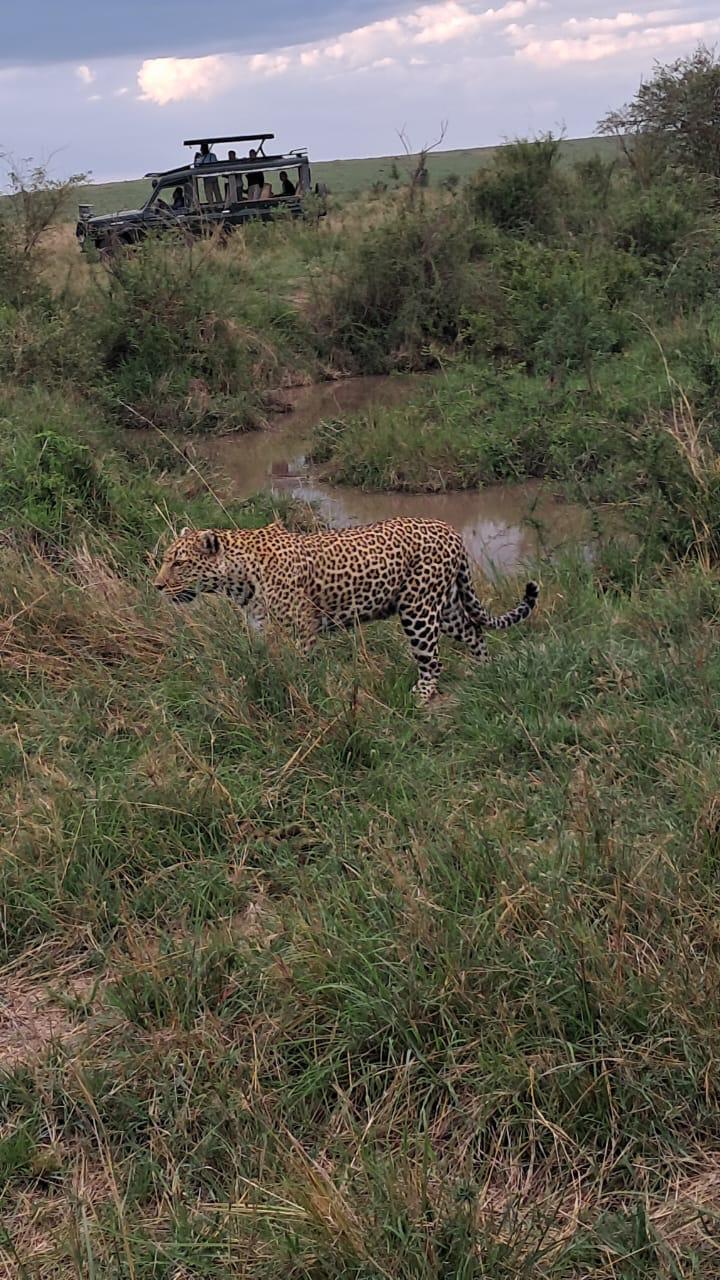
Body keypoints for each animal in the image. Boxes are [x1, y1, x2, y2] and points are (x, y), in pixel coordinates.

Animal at [154, 517, 535, 701]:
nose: (156, 586)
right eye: (166, 559)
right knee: (474, 629)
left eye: (179, 563)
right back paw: (484, 671)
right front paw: (253, 681)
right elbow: (259, 659)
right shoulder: (258, 624)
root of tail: (450, 530)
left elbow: (301, 665)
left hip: (418, 609)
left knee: (432, 659)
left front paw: (300, 690)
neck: (238, 577)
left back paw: (422, 696)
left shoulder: (303, 628)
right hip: (445, 605)